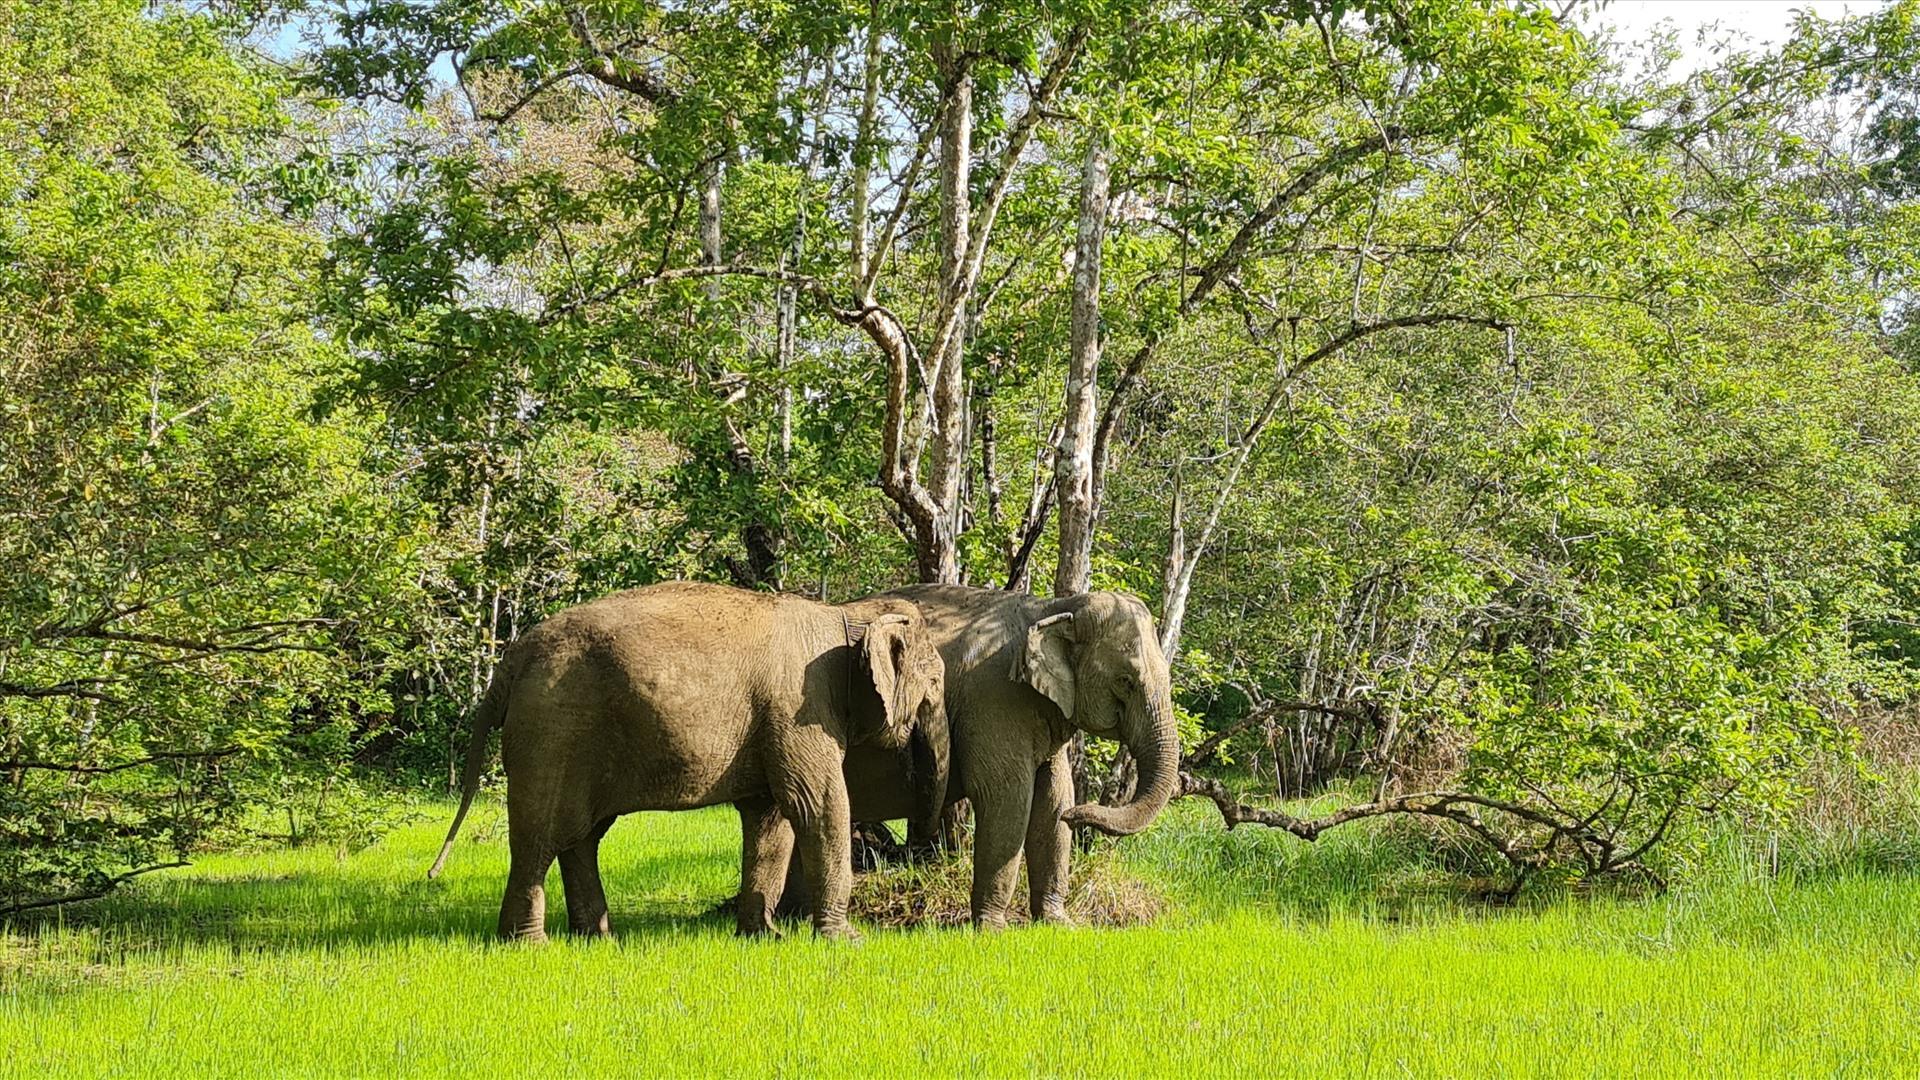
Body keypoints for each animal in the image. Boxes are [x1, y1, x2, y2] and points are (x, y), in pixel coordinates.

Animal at [432, 576, 948, 937]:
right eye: (937, 682)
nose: (918, 854)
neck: (847, 613)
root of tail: (513, 659)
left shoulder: (777, 721)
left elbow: (770, 817)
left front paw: (764, 937)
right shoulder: (799, 709)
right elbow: (816, 805)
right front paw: (846, 940)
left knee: (582, 835)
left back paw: (596, 939)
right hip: (552, 730)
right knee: (542, 834)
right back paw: (528, 944)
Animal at [748, 584, 1182, 930]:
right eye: (1126, 680)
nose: (1080, 818)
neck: (1052, 606)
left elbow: (1053, 797)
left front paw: (1060, 925)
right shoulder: (995, 699)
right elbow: (1006, 797)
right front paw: (991, 930)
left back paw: (789, 920)